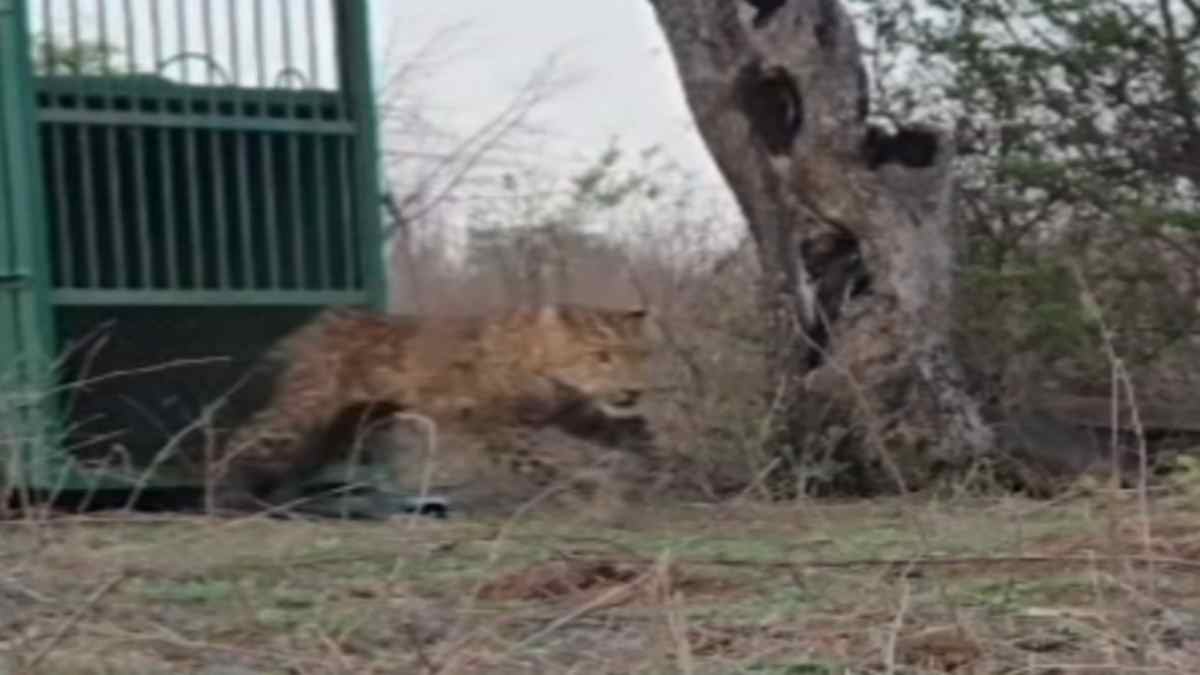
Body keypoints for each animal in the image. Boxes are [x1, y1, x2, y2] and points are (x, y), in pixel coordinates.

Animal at [206, 303, 657, 514]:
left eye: (640, 355)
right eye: (601, 356)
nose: (635, 389)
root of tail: (316, 325)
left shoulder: (566, 411)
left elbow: (625, 428)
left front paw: (652, 455)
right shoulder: (498, 426)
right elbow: (544, 462)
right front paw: (590, 490)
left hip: (344, 426)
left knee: (303, 461)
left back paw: (287, 498)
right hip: (302, 412)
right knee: (244, 437)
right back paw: (227, 496)